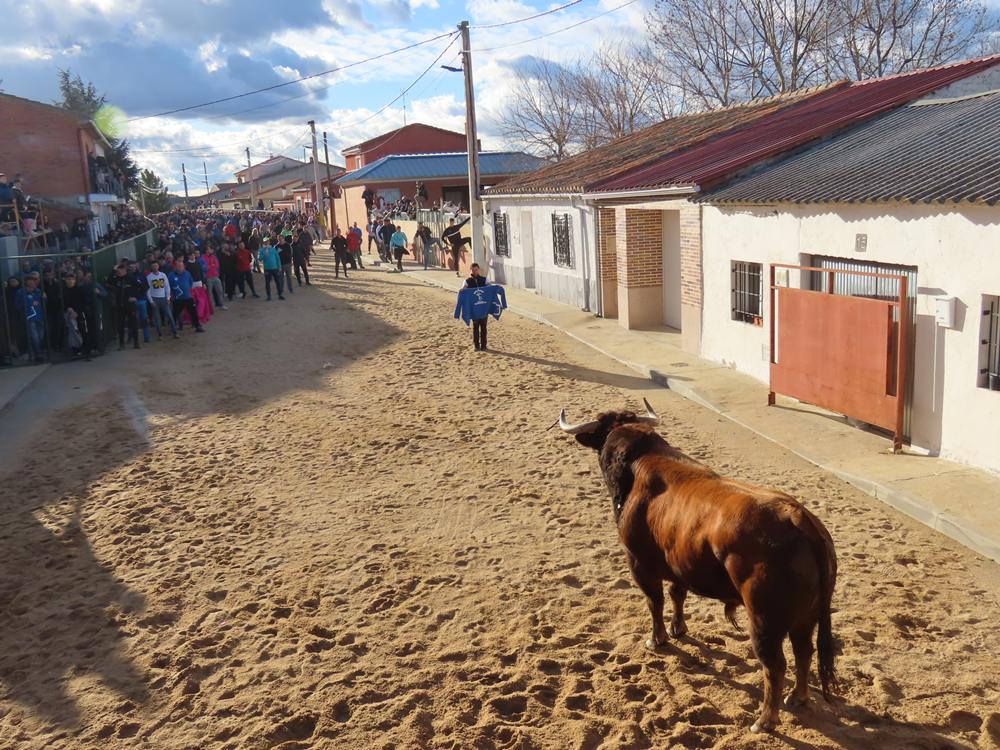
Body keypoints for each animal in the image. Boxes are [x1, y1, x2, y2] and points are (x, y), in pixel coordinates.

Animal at [564, 400, 836, 736]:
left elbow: (655, 601)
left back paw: (764, 720)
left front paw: (657, 639)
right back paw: (797, 697)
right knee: (803, 651)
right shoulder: (679, 562)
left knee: (774, 665)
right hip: (806, 616)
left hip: (764, 620)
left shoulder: (638, 562)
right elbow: (677, 594)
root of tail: (801, 521)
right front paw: (678, 628)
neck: (639, 465)